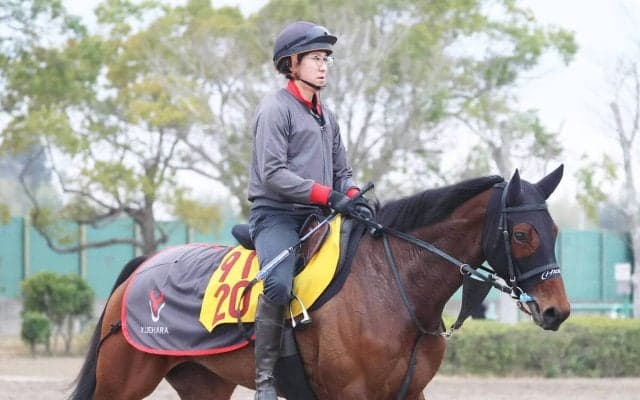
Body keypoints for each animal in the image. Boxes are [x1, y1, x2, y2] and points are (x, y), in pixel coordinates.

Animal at [70, 166, 570, 400]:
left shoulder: (411, 392)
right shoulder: (351, 395)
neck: (392, 286)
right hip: (122, 384)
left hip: (203, 383)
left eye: (554, 230)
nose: (557, 310)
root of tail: (143, 265)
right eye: (522, 234)